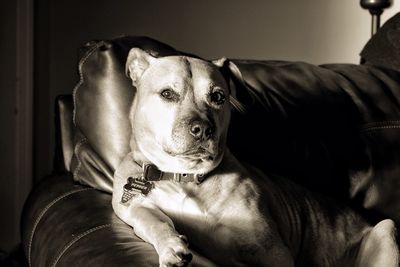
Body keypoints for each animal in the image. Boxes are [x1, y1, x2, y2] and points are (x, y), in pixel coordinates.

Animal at [111, 48, 396, 267]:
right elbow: (153, 220)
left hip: (386, 230)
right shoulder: (134, 206)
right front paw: (172, 247)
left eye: (218, 96)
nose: (202, 129)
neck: (184, 176)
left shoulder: (272, 251)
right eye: (167, 94)